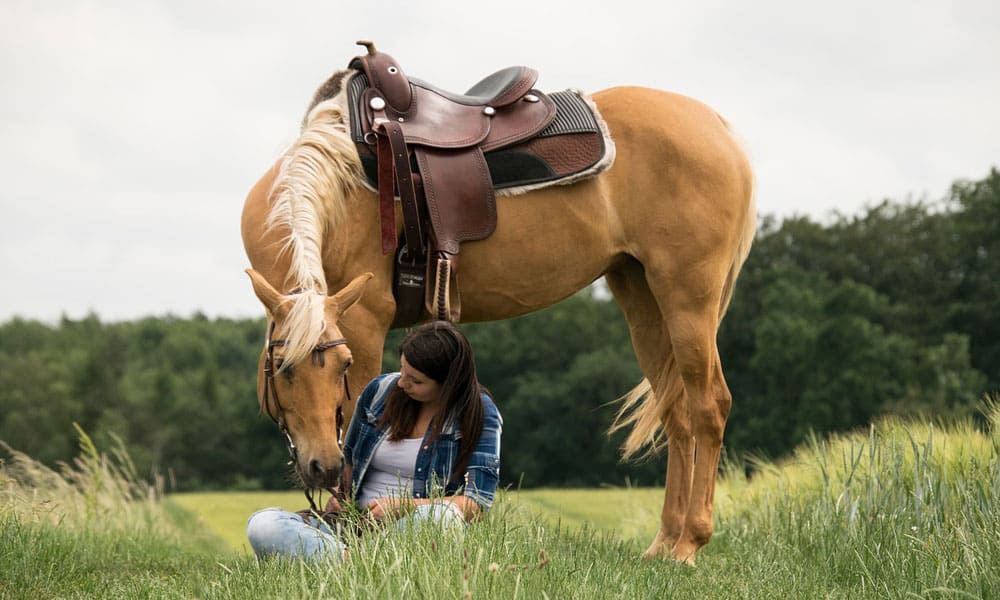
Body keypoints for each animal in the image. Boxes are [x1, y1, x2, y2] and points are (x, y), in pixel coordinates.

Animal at [242, 48, 752, 564]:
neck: (341, 186)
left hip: (688, 297)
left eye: (342, 365)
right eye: (281, 368)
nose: (323, 467)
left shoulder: (365, 323)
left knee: (709, 405)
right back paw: (663, 543)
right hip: (642, 296)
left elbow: (355, 421)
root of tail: (717, 126)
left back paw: (689, 543)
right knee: (676, 411)